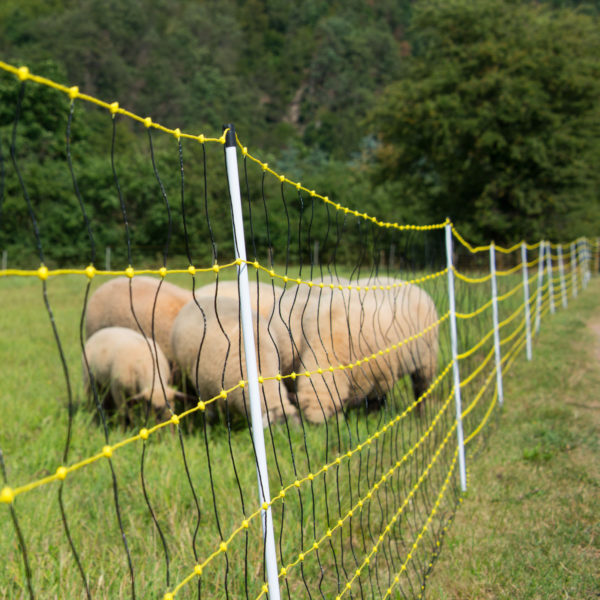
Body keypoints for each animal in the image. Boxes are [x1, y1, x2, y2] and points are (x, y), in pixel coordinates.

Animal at [284, 276, 438, 422]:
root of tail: (410, 285)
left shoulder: (381, 375)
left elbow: (377, 399)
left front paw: (373, 416)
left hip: (426, 361)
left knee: (421, 389)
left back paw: (421, 414)